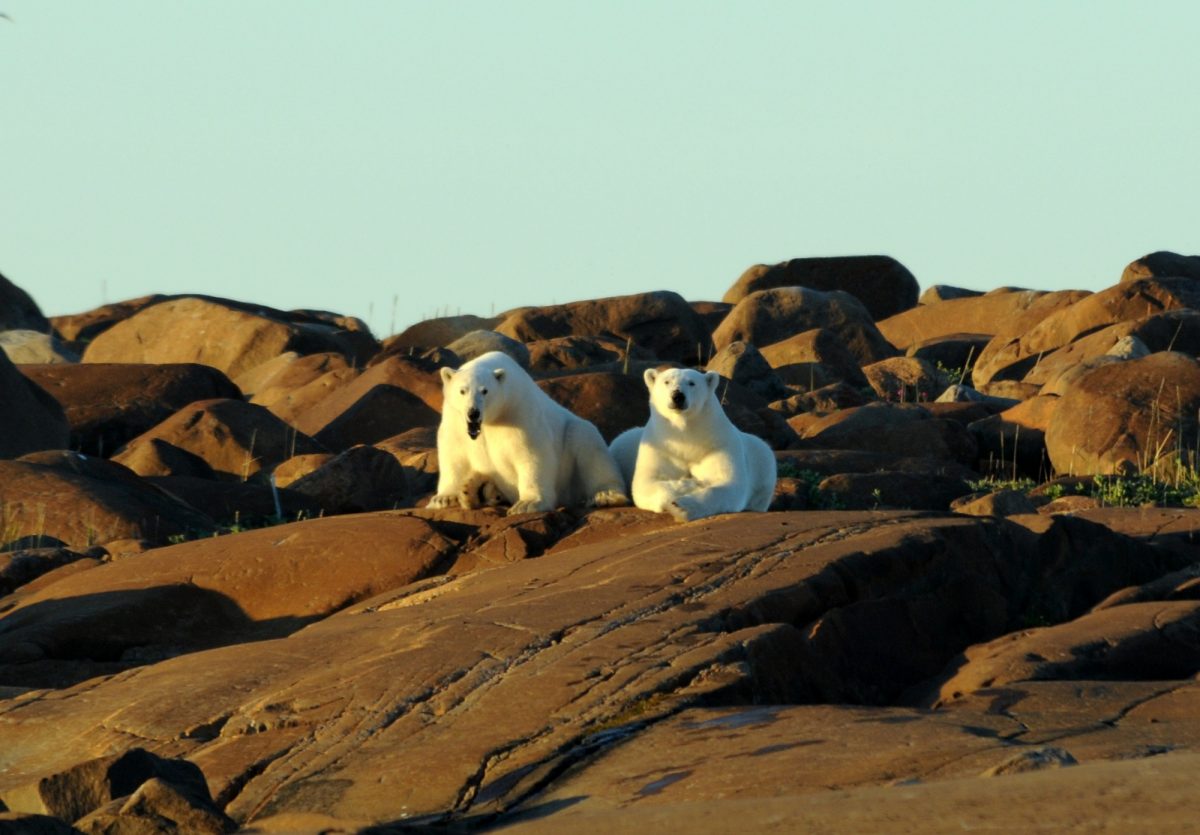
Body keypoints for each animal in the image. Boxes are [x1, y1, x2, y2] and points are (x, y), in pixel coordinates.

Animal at [429, 347, 628, 515]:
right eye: (462, 391)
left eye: (485, 391)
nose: (473, 412)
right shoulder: (454, 420)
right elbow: (453, 453)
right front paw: (444, 499)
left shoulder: (518, 411)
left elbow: (531, 454)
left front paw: (527, 504)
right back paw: (472, 490)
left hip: (572, 441)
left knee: (590, 447)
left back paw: (606, 495)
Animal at [614, 367, 772, 523]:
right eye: (666, 381)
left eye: (691, 383)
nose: (677, 396)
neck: (688, 438)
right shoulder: (661, 447)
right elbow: (646, 482)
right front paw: (693, 483)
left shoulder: (720, 445)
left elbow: (730, 484)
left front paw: (680, 506)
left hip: (764, 460)